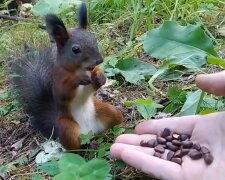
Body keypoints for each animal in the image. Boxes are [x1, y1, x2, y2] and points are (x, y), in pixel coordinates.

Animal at [11, 2, 123, 150]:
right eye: (75, 49)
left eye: (94, 39)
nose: (99, 60)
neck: (81, 69)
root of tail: (91, 131)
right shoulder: (58, 80)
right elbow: (64, 91)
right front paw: (79, 79)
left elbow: (95, 78)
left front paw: (100, 77)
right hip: (68, 128)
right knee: (76, 147)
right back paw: (89, 145)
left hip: (107, 111)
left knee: (115, 117)